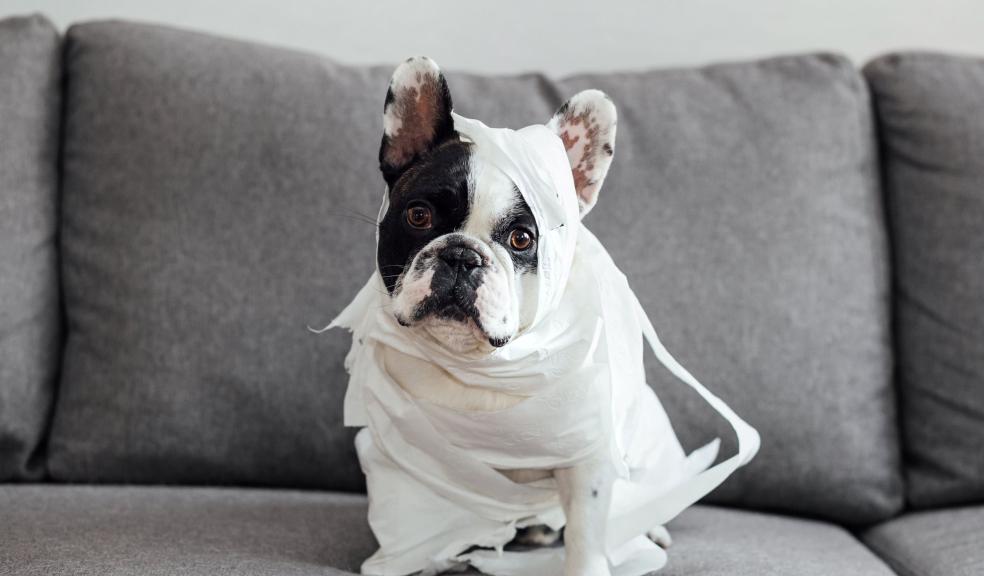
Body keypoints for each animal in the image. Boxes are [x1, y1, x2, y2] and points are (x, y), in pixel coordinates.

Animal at [368, 57, 668, 576]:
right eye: (419, 216)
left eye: (522, 239)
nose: (462, 256)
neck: (481, 369)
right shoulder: (405, 454)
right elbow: (413, 522)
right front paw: (406, 561)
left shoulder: (587, 459)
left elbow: (586, 529)